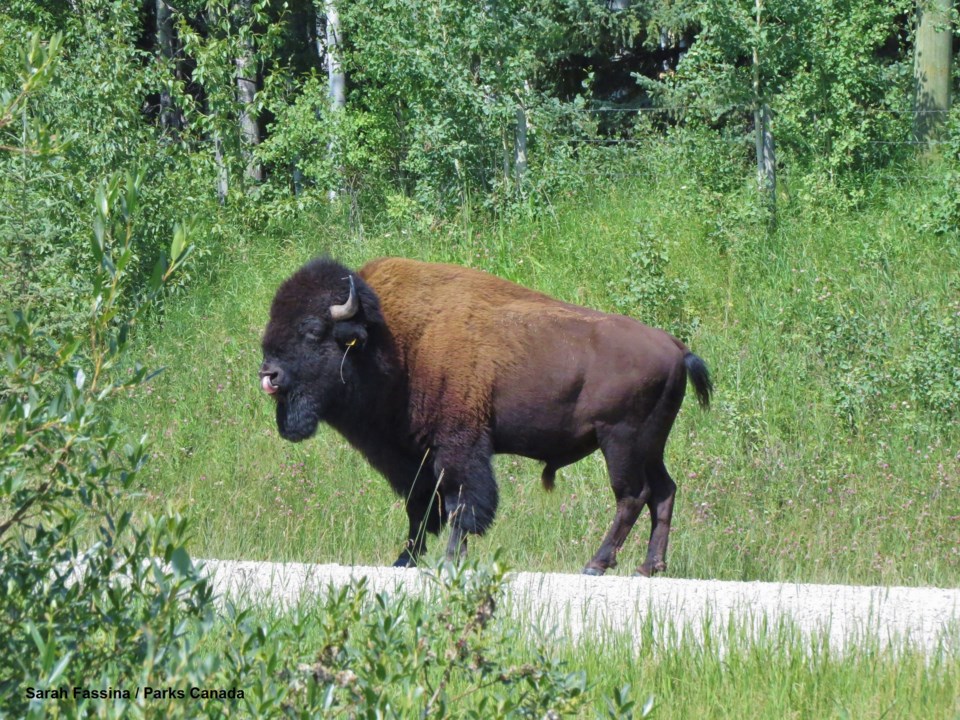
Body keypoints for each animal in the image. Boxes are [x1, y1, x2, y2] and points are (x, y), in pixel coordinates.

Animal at [258, 256, 708, 576]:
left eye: (312, 329)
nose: (268, 375)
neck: (396, 341)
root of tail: (676, 347)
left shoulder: (459, 446)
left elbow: (462, 504)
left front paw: (449, 561)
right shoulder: (414, 457)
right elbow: (421, 506)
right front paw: (405, 559)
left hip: (620, 440)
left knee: (632, 496)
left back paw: (596, 564)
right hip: (651, 445)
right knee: (664, 492)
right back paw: (649, 567)